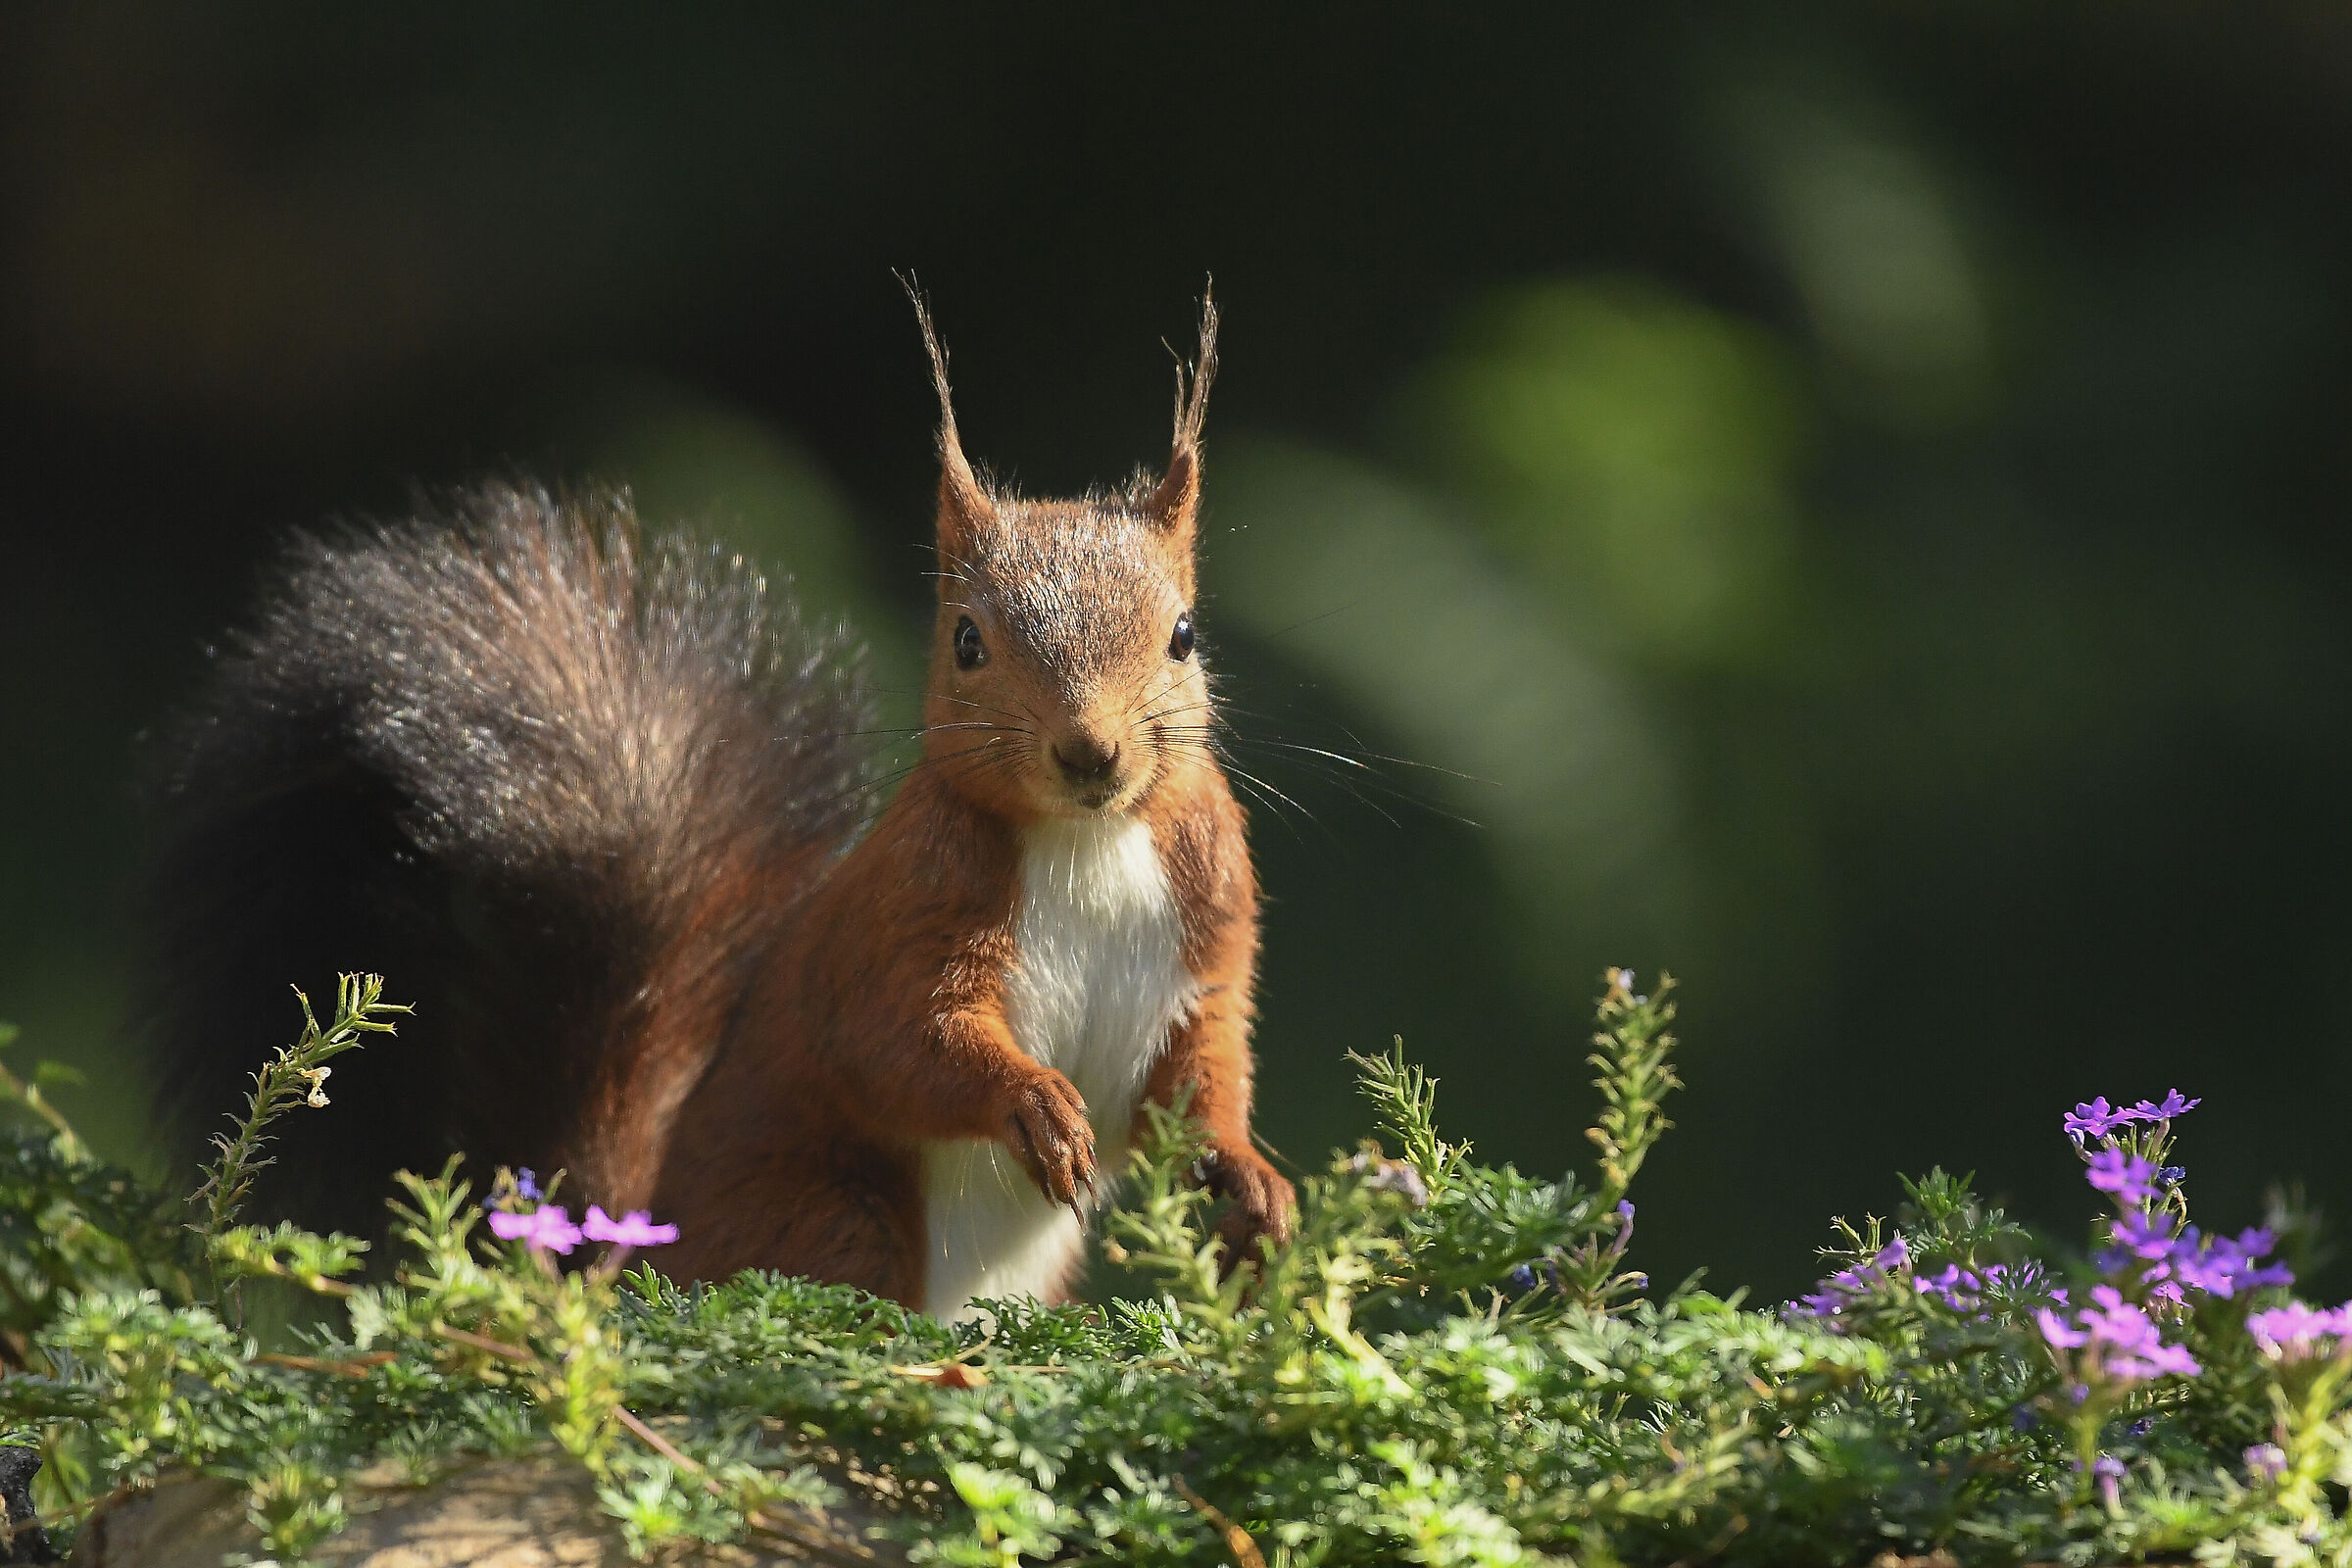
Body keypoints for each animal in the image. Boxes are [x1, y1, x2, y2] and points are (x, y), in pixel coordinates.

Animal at [142, 292, 1295, 1319]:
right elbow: (895, 1039)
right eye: (968, 641)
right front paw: (1036, 1104)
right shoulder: (904, 913)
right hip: (829, 1219)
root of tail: (628, 1258)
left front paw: (1253, 1179)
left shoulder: (1209, 924)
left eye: (1184, 633)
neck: (1089, 838)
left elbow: (1201, 1076)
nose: (1089, 751)